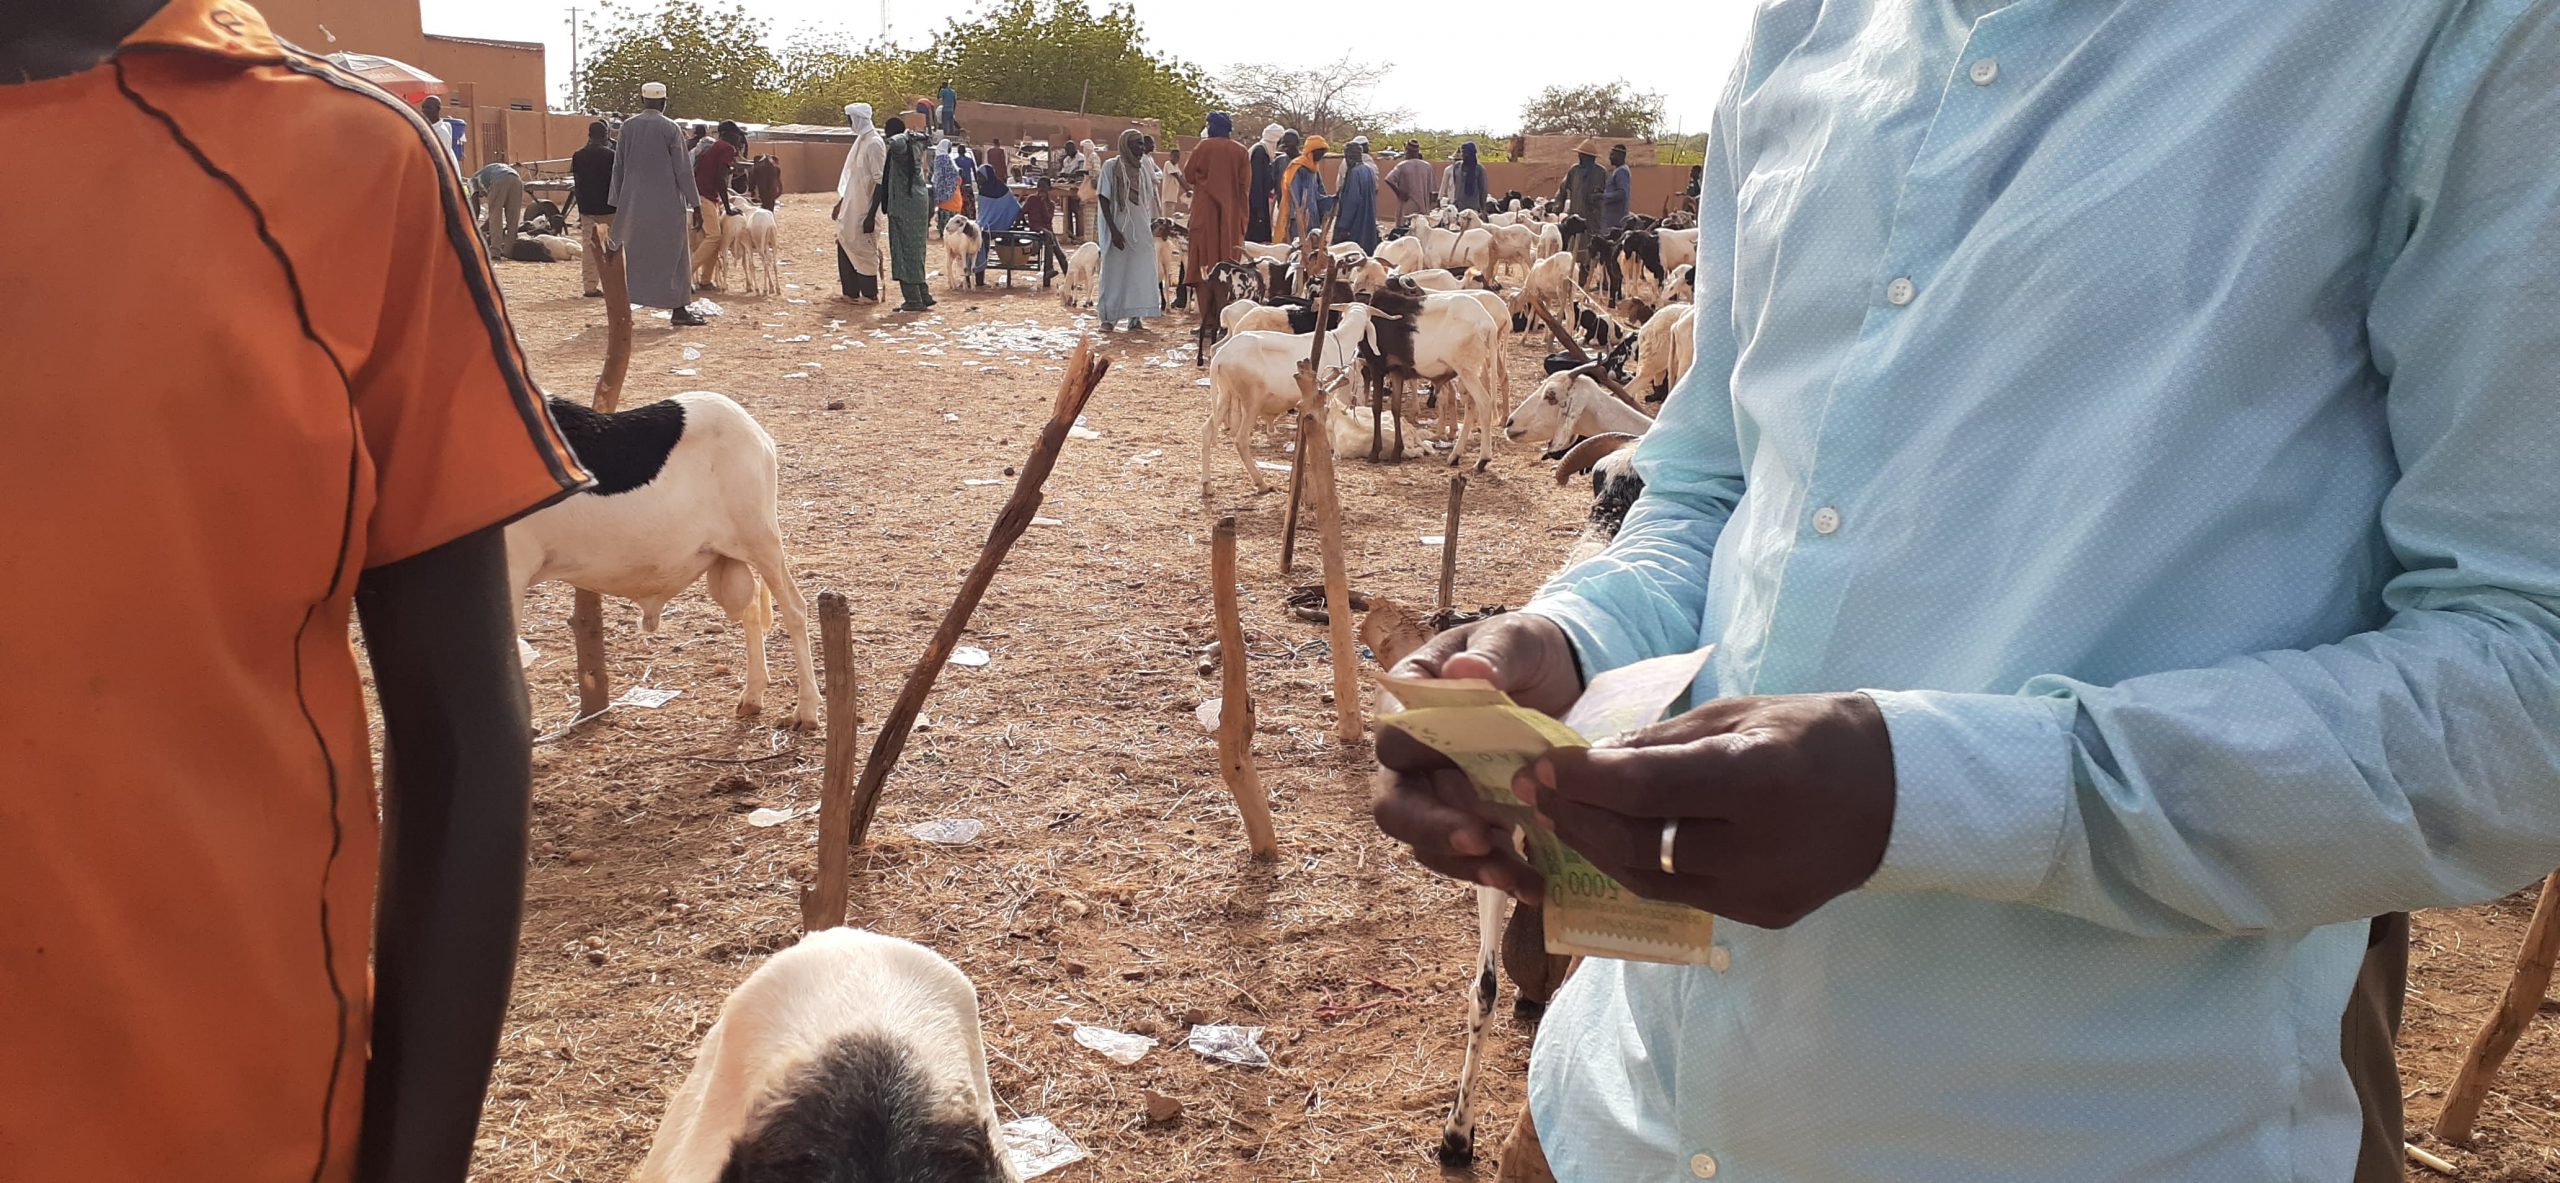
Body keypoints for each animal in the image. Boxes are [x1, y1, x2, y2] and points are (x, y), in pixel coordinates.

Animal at [504, 391, 814, 732]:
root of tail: (757, 433)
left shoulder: (513, 572)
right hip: (729, 556)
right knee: (751, 610)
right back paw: (753, 696)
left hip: (761, 540)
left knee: (794, 610)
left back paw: (807, 710)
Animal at [1198, 302, 1382, 496]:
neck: (1338, 341)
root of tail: (1220, 357)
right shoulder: (1323, 395)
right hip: (1251, 400)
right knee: (1240, 440)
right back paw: (1261, 483)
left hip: (1225, 394)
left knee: (1207, 429)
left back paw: (1207, 484)